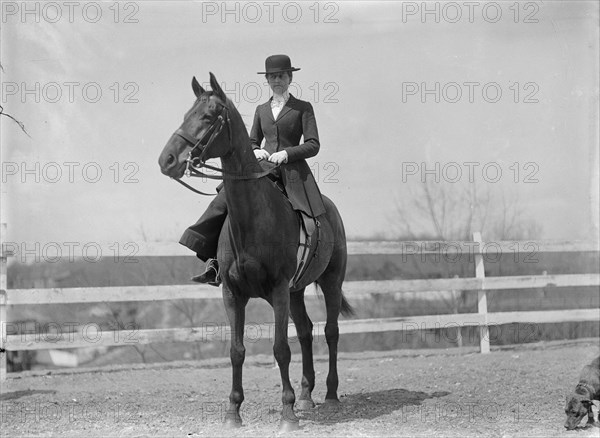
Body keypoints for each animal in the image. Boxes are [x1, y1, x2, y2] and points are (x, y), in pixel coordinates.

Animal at [158, 73, 352, 430]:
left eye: (208, 117)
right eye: (186, 115)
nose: (167, 160)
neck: (254, 218)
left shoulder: (277, 290)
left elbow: (280, 349)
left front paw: (287, 414)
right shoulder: (234, 294)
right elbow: (237, 350)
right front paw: (233, 412)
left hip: (330, 283)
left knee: (330, 332)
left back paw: (330, 395)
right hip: (296, 292)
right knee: (306, 332)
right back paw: (307, 396)